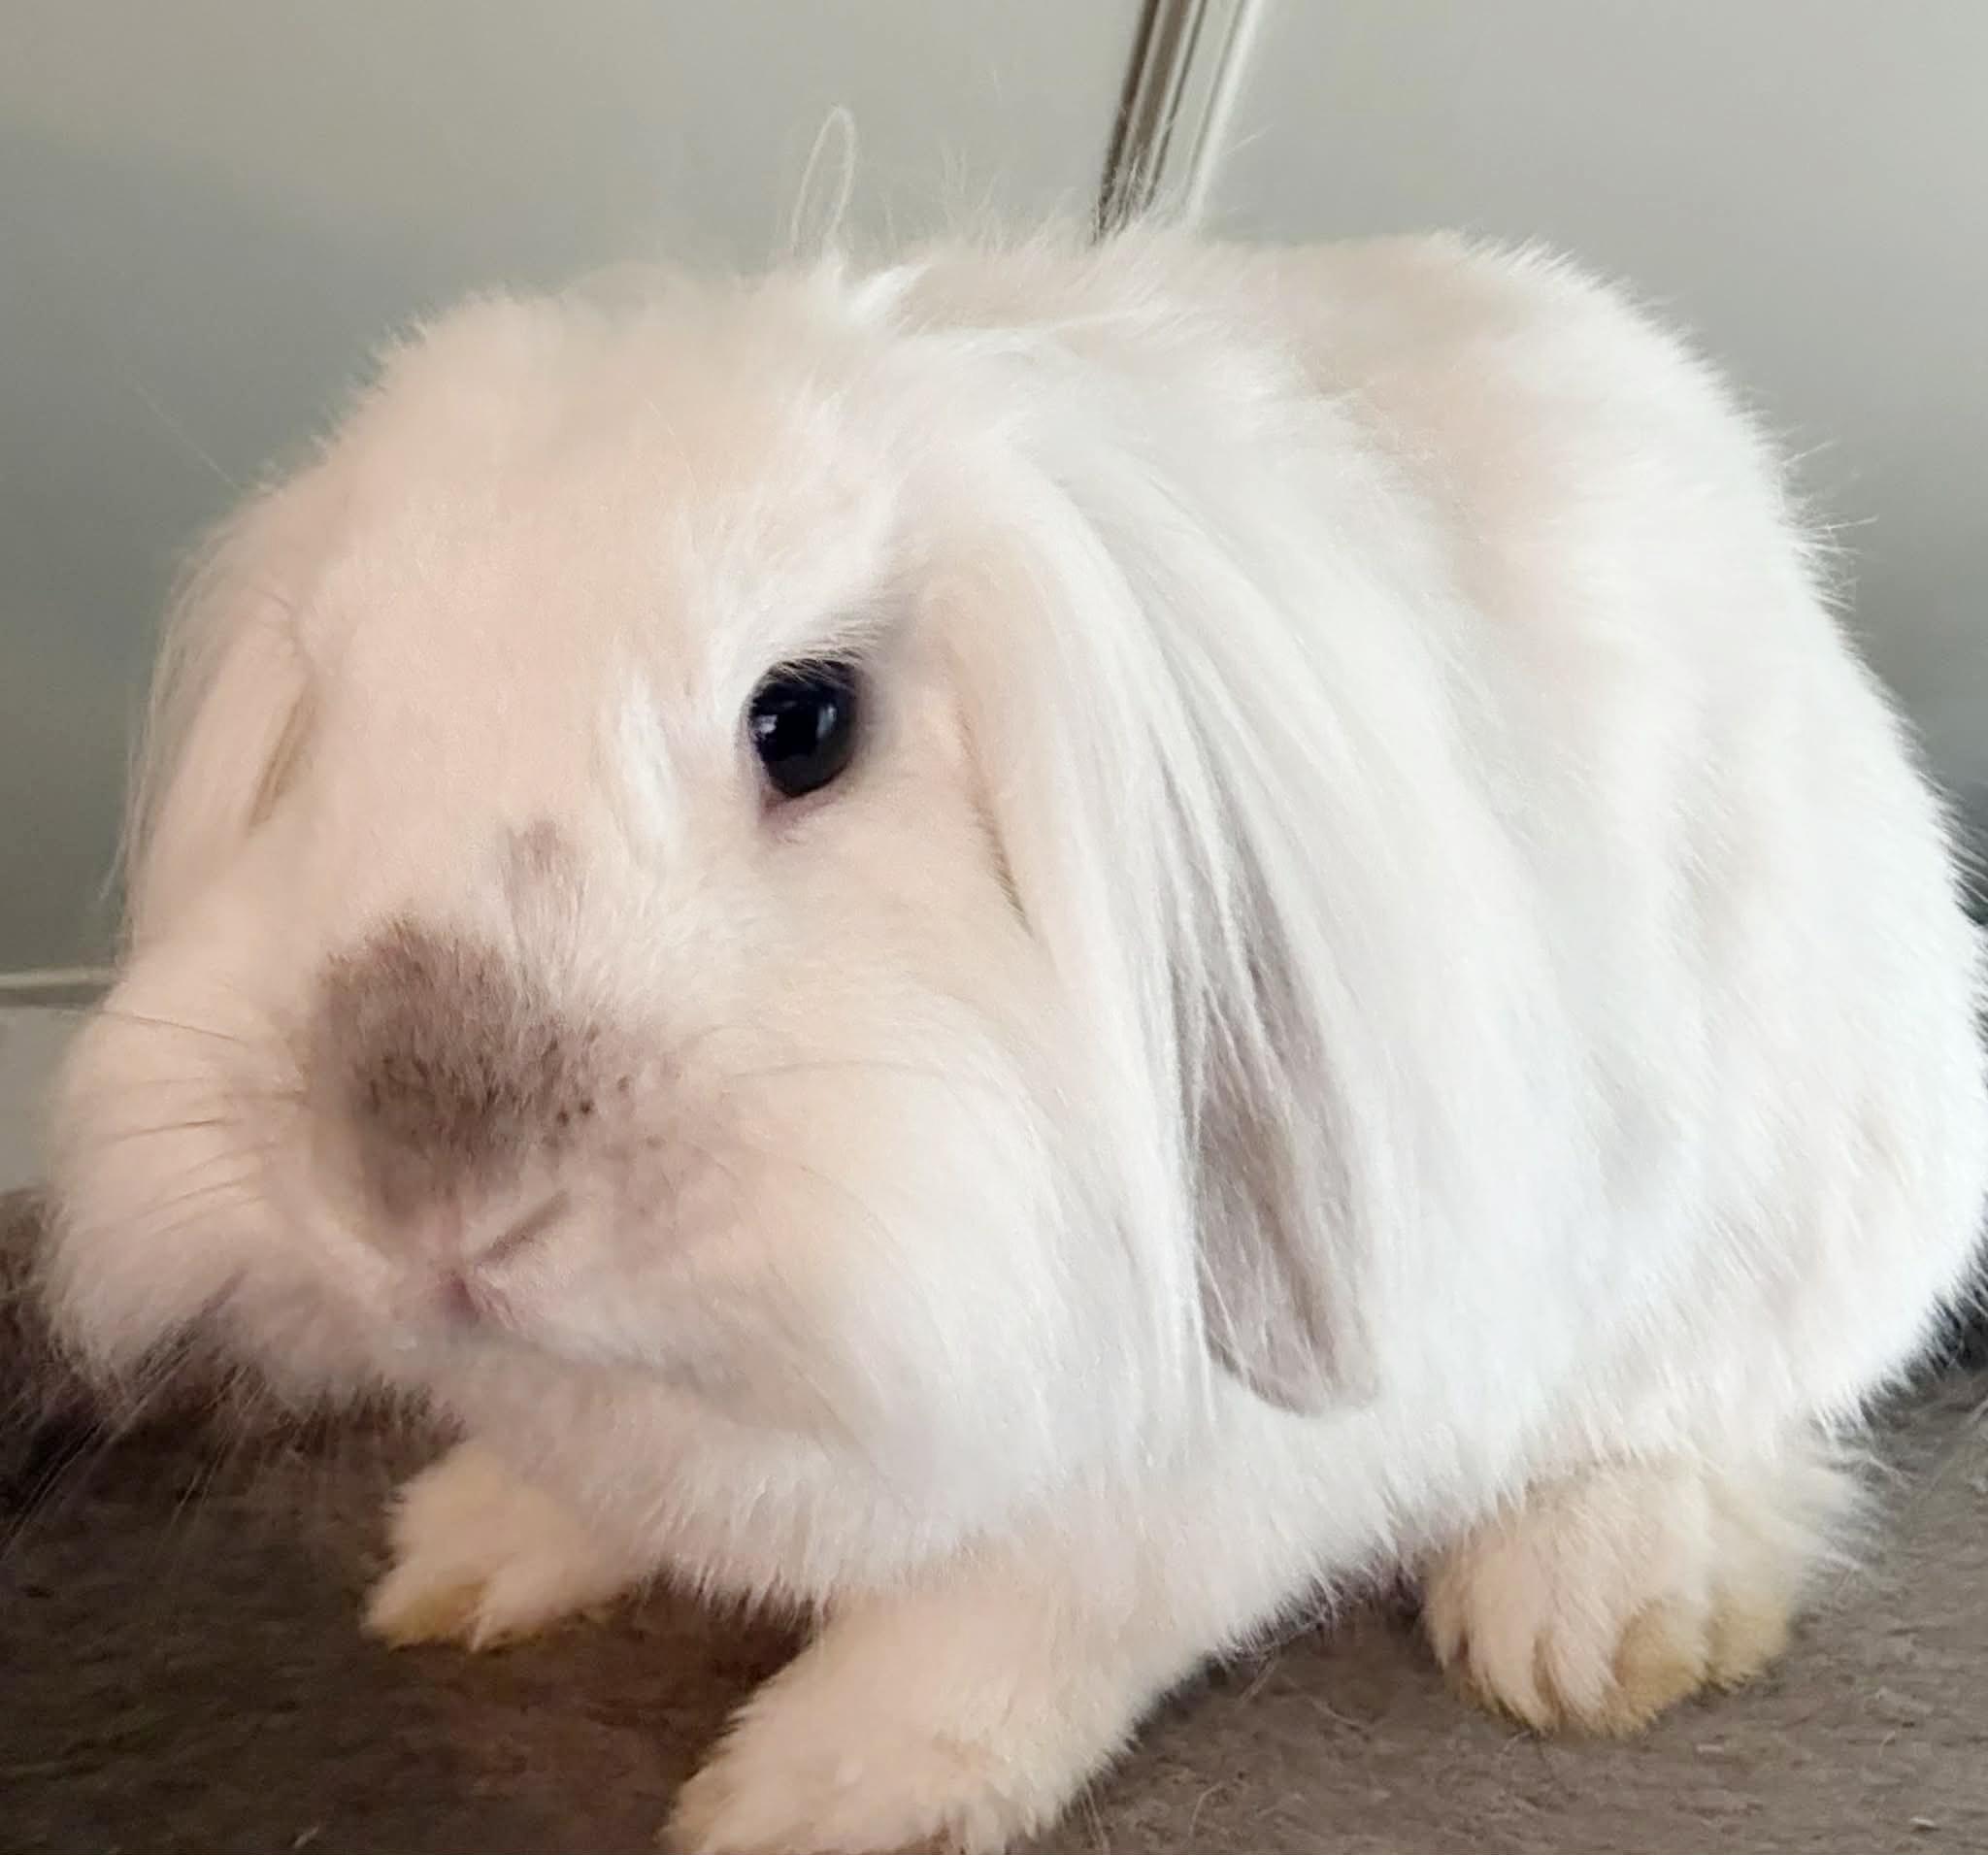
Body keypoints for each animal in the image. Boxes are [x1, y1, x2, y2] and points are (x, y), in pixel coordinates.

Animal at [41, 227, 1987, 1855]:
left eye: (807, 720)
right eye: (322, 714)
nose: (420, 1190)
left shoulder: (1207, 1477)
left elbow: (1009, 1620)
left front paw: (813, 1794)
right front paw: (471, 1547)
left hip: (1802, 1215)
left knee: (1729, 1414)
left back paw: (1589, 1614)